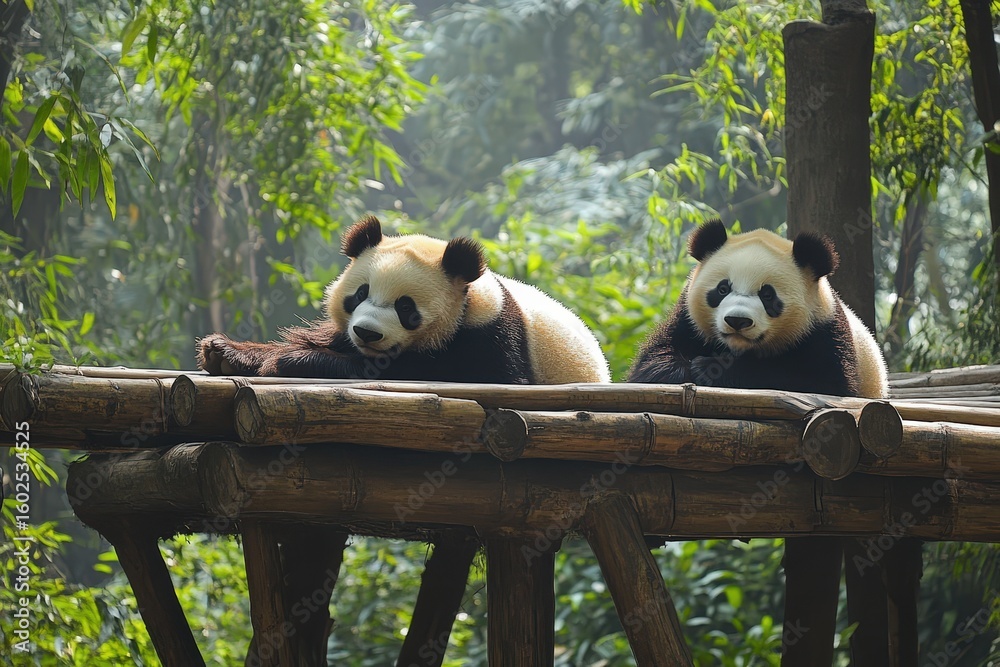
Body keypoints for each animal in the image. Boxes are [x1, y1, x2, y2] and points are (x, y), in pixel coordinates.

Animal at [198, 214, 611, 384]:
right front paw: (226, 351)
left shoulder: (491, 333)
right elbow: (325, 336)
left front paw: (294, 362)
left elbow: (477, 375)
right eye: (359, 294)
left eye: (406, 308)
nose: (367, 333)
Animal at [628, 218, 887, 399]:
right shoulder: (686, 320)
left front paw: (709, 368)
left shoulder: (824, 330)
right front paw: (690, 369)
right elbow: (651, 365)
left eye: (768, 295)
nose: (737, 321)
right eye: (723, 289)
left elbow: (823, 383)